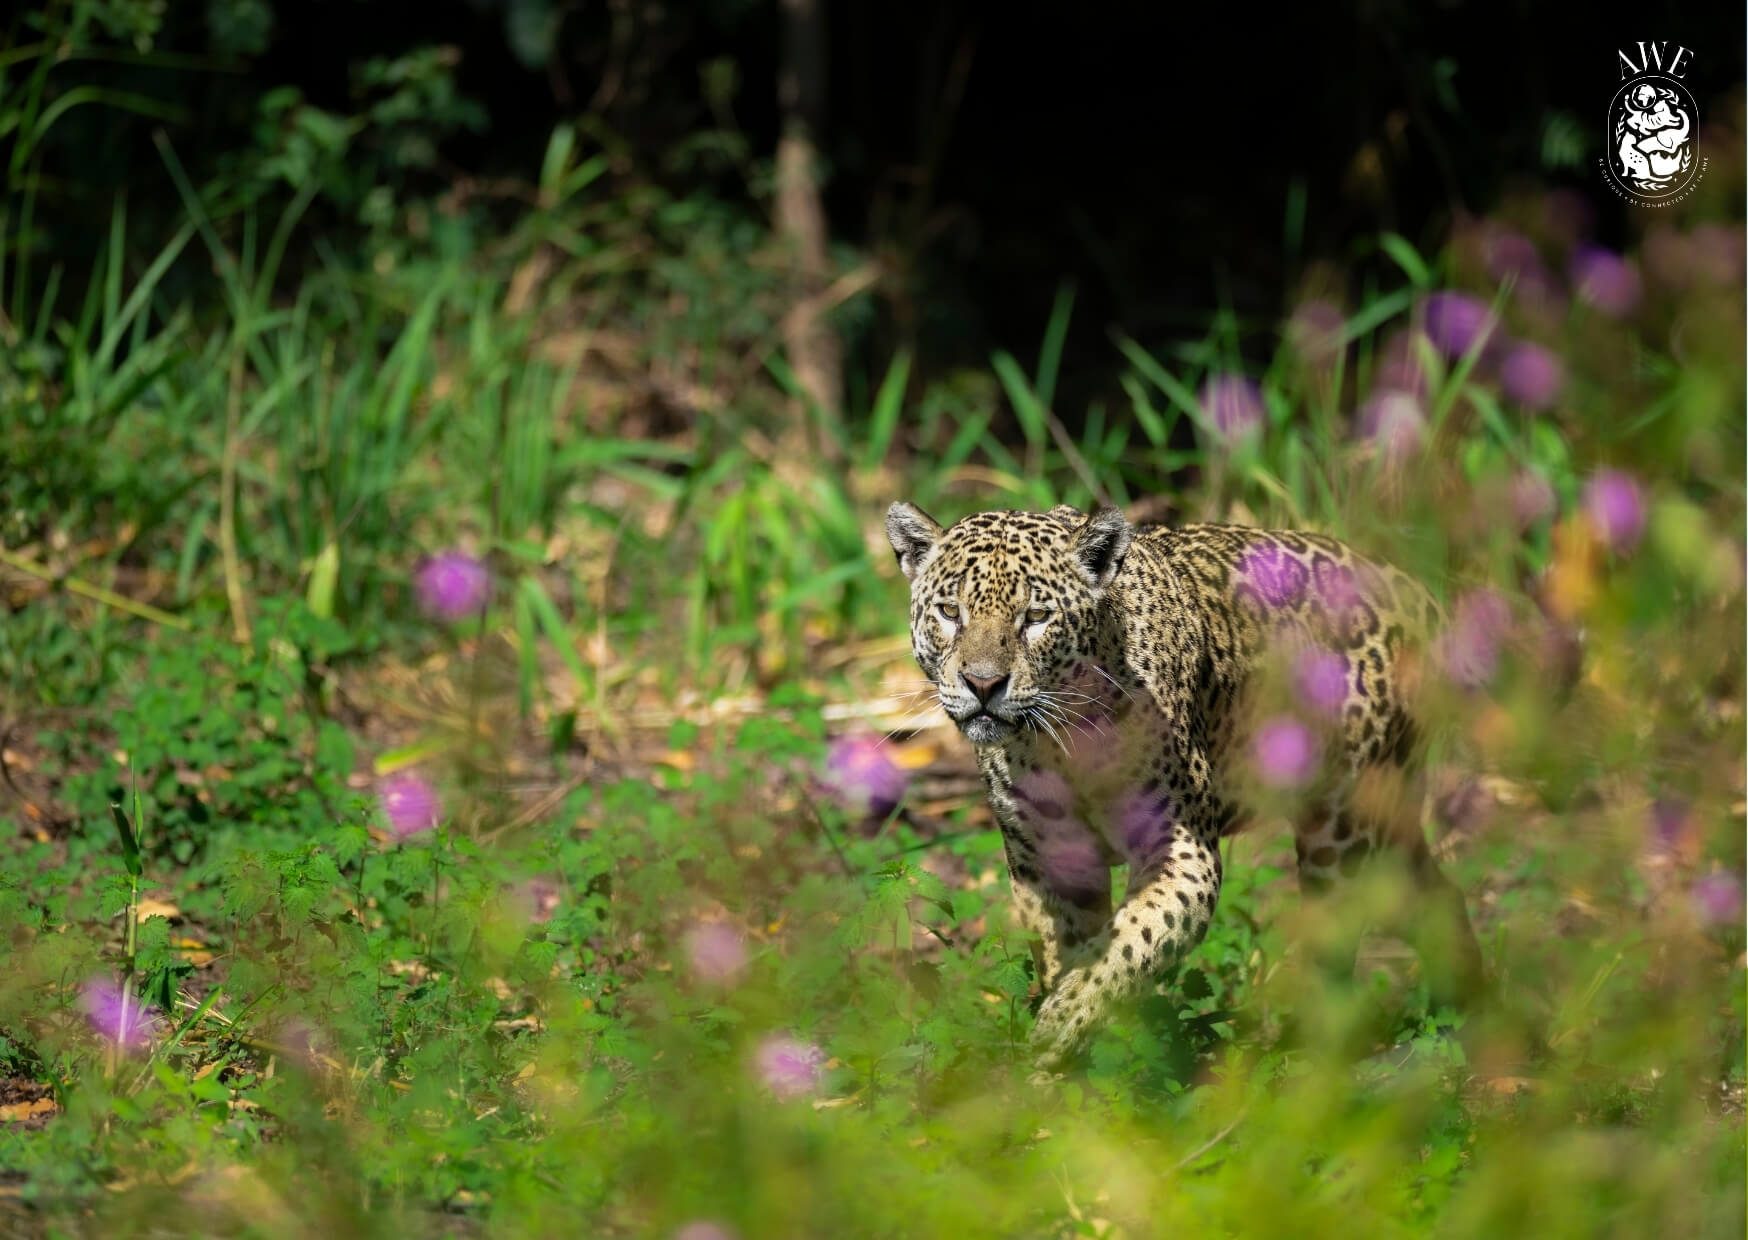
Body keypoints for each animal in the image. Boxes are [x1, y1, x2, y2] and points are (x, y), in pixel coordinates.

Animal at [885, 501, 1485, 1070]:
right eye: (950, 612)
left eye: (1036, 617)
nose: (983, 684)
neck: (1060, 745)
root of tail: (1409, 586)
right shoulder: (1050, 863)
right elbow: (1072, 951)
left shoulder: (1182, 852)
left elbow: (1123, 948)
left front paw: (1059, 1026)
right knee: (1436, 896)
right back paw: (1466, 1005)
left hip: (1341, 830)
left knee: (1338, 939)